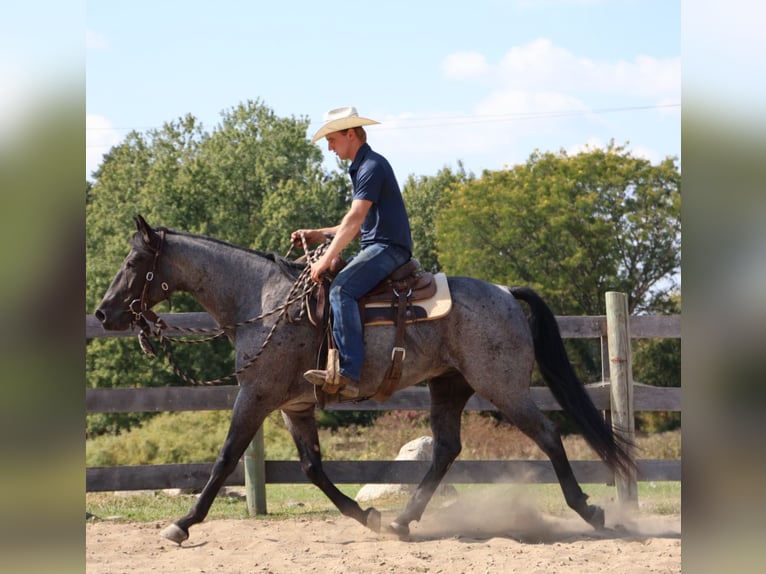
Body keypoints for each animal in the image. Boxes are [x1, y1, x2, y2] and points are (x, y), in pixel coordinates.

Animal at [94, 215, 634, 544]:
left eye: (134, 262)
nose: (103, 313)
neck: (263, 303)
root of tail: (503, 291)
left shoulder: (257, 395)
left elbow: (226, 458)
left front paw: (182, 524)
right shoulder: (294, 406)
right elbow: (312, 467)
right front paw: (366, 515)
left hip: (504, 387)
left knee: (547, 435)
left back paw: (591, 512)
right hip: (449, 386)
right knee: (446, 449)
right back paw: (401, 520)